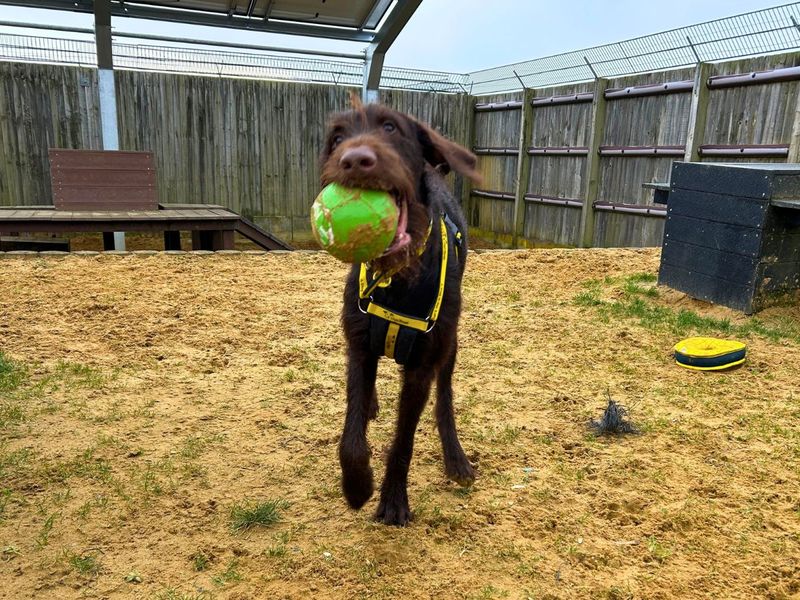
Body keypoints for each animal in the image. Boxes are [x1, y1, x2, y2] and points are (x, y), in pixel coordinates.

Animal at [318, 98, 482, 524]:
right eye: (337, 138)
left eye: (391, 128)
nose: (354, 160)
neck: (397, 280)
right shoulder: (359, 345)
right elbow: (352, 433)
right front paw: (357, 486)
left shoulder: (423, 364)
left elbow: (404, 439)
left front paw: (393, 501)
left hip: (450, 346)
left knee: (445, 398)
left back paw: (456, 458)